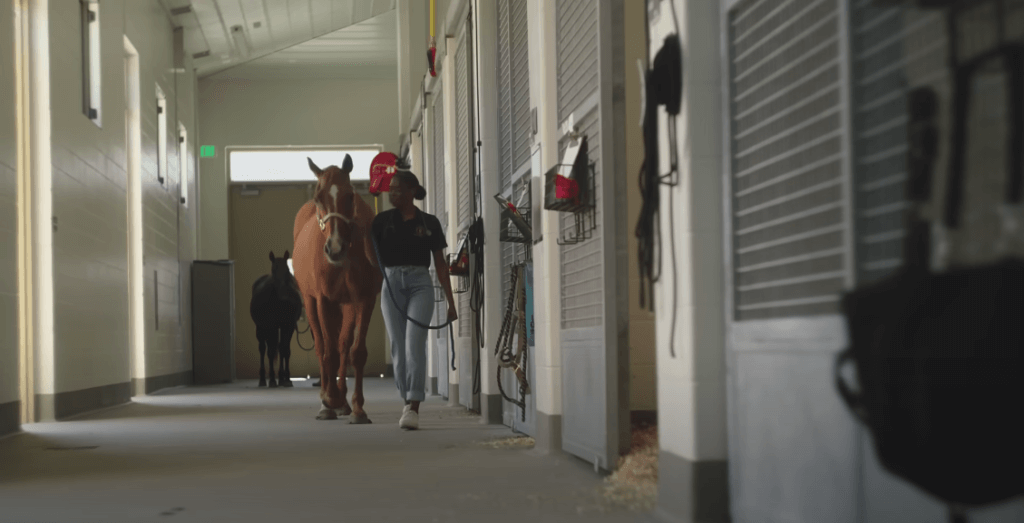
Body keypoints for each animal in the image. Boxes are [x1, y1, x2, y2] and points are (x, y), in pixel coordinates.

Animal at [249, 249, 301, 388]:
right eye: (273, 270)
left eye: (287, 270)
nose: (284, 296)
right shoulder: (270, 326)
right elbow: (271, 352)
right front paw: (272, 379)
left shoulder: (288, 326)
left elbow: (285, 350)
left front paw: (286, 379)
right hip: (261, 328)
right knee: (263, 349)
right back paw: (263, 379)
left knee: (279, 347)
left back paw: (281, 378)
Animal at [290, 155, 382, 425]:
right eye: (318, 197)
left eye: (350, 195)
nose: (335, 248)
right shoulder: (324, 300)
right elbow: (327, 350)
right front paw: (328, 401)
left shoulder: (364, 300)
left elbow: (355, 351)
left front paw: (358, 408)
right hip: (310, 301)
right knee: (322, 346)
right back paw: (328, 399)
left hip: (347, 305)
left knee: (343, 344)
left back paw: (342, 400)